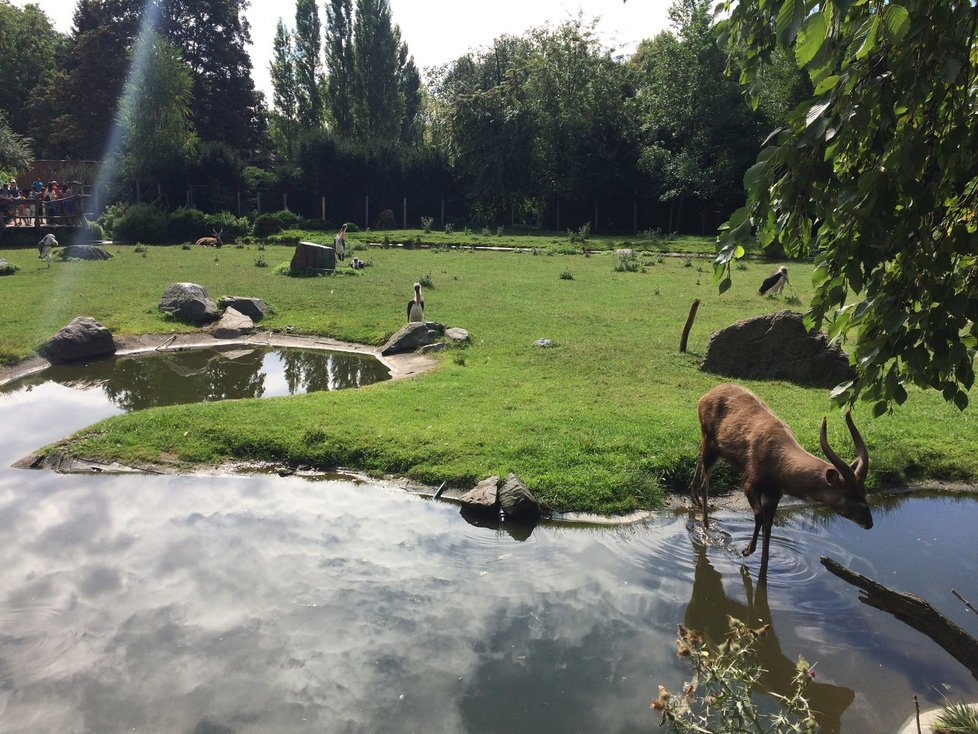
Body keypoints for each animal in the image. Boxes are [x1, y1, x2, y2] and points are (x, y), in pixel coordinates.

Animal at [688, 386, 868, 580]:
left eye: (864, 491)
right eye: (848, 493)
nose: (869, 522)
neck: (779, 465)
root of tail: (704, 396)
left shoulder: (775, 494)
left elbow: (768, 528)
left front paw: (763, 568)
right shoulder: (750, 483)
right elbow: (759, 515)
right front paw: (746, 550)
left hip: (711, 445)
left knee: (699, 457)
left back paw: (694, 498)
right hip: (711, 443)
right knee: (705, 483)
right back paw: (706, 526)